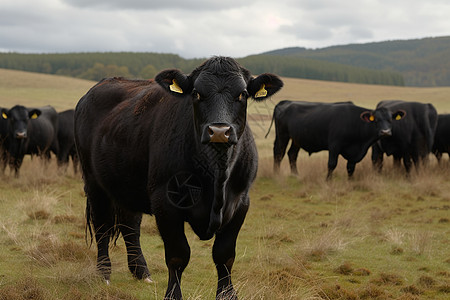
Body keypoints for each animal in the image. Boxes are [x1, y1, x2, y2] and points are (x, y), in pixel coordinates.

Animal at [75, 56, 284, 300]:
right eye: (196, 93)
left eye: (242, 94)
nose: (219, 131)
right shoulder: (165, 202)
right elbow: (178, 255)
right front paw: (173, 295)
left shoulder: (241, 202)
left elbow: (224, 254)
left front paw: (227, 294)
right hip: (94, 183)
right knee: (102, 226)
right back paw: (104, 273)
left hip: (128, 184)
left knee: (130, 225)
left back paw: (141, 272)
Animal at [268, 101, 406, 179]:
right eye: (376, 120)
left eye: (390, 119)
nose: (385, 132)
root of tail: (284, 104)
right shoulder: (334, 145)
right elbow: (332, 164)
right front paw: (328, 181)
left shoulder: (354, 153)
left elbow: (351, 167)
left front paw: (351, 182)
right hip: (282, 135)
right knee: (279, 153)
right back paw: (276, 174)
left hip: (297, 139)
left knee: (292, 154)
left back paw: (295, 175)